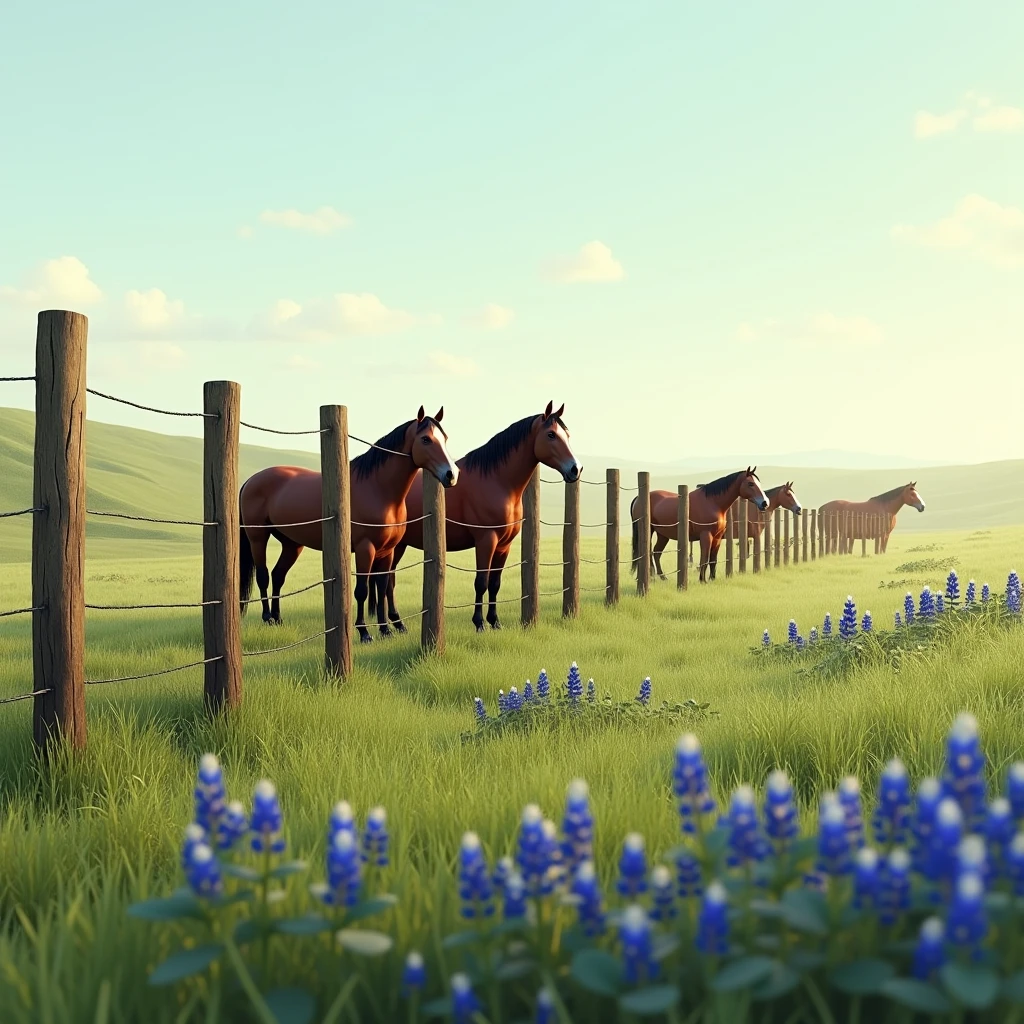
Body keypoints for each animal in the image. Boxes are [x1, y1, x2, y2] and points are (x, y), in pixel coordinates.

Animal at [238, 405, 456, 638]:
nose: (451, 475)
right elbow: (362, 590)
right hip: (258, 537)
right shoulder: (365, 548)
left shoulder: (386, 551)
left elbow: (382, 586)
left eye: (445, 438)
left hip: (292, 544)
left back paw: (278, 618)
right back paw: (267, 617)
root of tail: (251, 480)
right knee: (263, 575)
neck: (377, 488)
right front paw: (364, 632)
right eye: (425, 439)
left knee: (278, 575)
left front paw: (385, 629)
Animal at [376, 401, 585, 630]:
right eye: (551, 435)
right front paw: (479, 623)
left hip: (398, 545)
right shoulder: (486, 540)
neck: (497, 481)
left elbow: (494, 583)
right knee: (385, 581)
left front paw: (495, 621)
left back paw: (397, 624)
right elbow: (481, 582)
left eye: (567, 434)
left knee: (389, 580)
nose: (576, 469)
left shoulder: (504, 545)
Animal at [630, 466, 770, 581]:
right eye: (750, 483)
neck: (712, 502)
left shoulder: (717, 538)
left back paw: (661, 577)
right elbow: (704, 558)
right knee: (646, 553)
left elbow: (713, 559)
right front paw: (702, 580)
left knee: (656, 553)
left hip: (662, 535)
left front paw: (712, 579)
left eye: (758, 483)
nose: (765, 503)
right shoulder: (706, 536)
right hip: (648, 531)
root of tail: (638, 498)